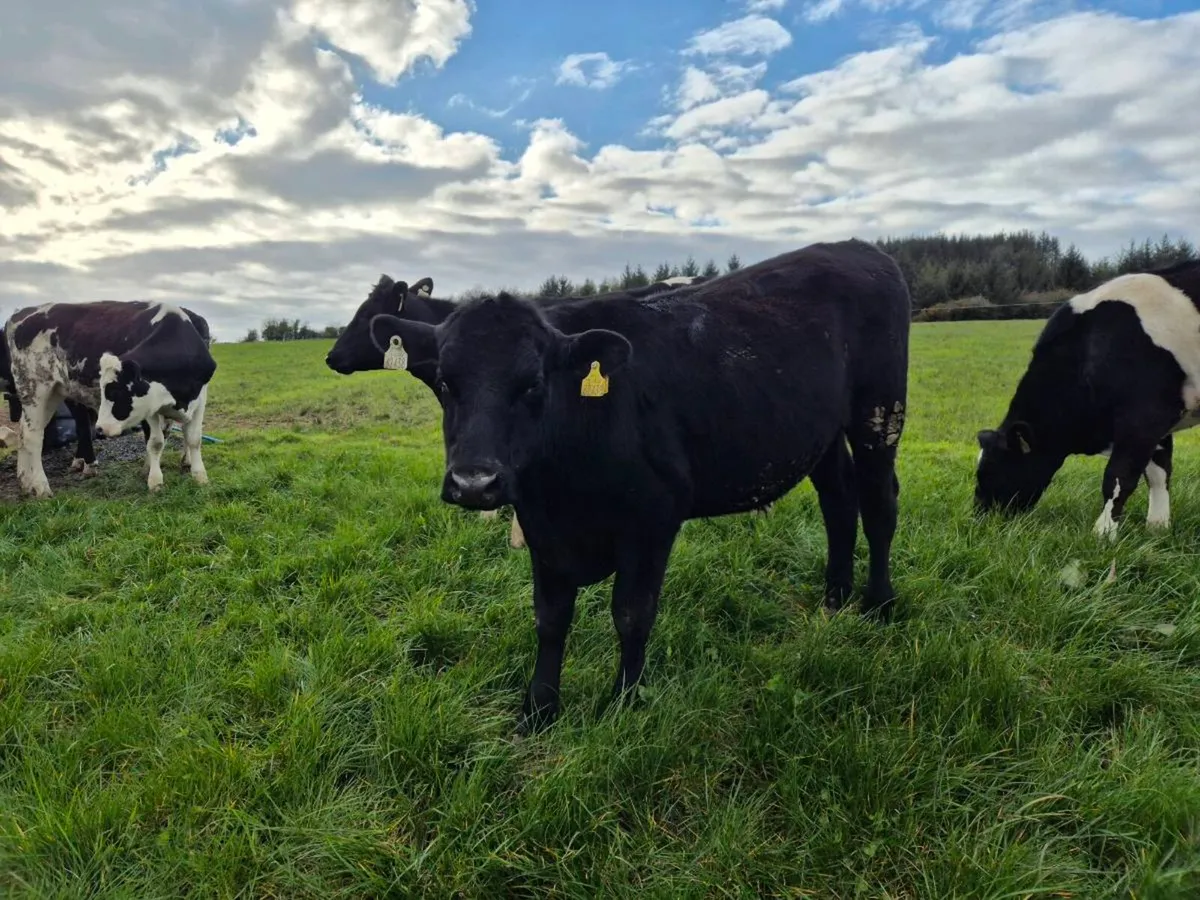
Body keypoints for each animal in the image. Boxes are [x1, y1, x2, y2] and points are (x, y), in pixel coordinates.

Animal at [3, 300, 216, 498]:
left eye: (115, 392)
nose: (99, 428)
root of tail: (22, 313)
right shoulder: (151, 409)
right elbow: (155, 442)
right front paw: (154, 480)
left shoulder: (199, 400)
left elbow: (194, 439)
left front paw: (200, 476)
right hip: (34, 387)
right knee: (32, 437)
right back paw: (40, 487)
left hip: (53, 393)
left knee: (24, 432)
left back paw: (25, 481)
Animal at [367, 238, 911, 731]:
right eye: (445, 382)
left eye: (534, 383)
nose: (474, 483)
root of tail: (858, 248)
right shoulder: (542, 529)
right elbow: (550, 618)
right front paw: (538, 709)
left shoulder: (652, 521)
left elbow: (631, 614)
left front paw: (624, 703)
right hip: (821, 431)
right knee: (838, 502)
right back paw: (834, 599)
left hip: (879, 410)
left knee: (878, 503)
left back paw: (879, 603)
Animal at [975, 259, 1200, 540]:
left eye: (993, 469)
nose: (979, 518)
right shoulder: (1158, 425)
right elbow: (1159, 473)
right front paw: (1157, 527)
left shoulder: (1144, 416)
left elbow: (1119, 476)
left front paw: (1103, 533)